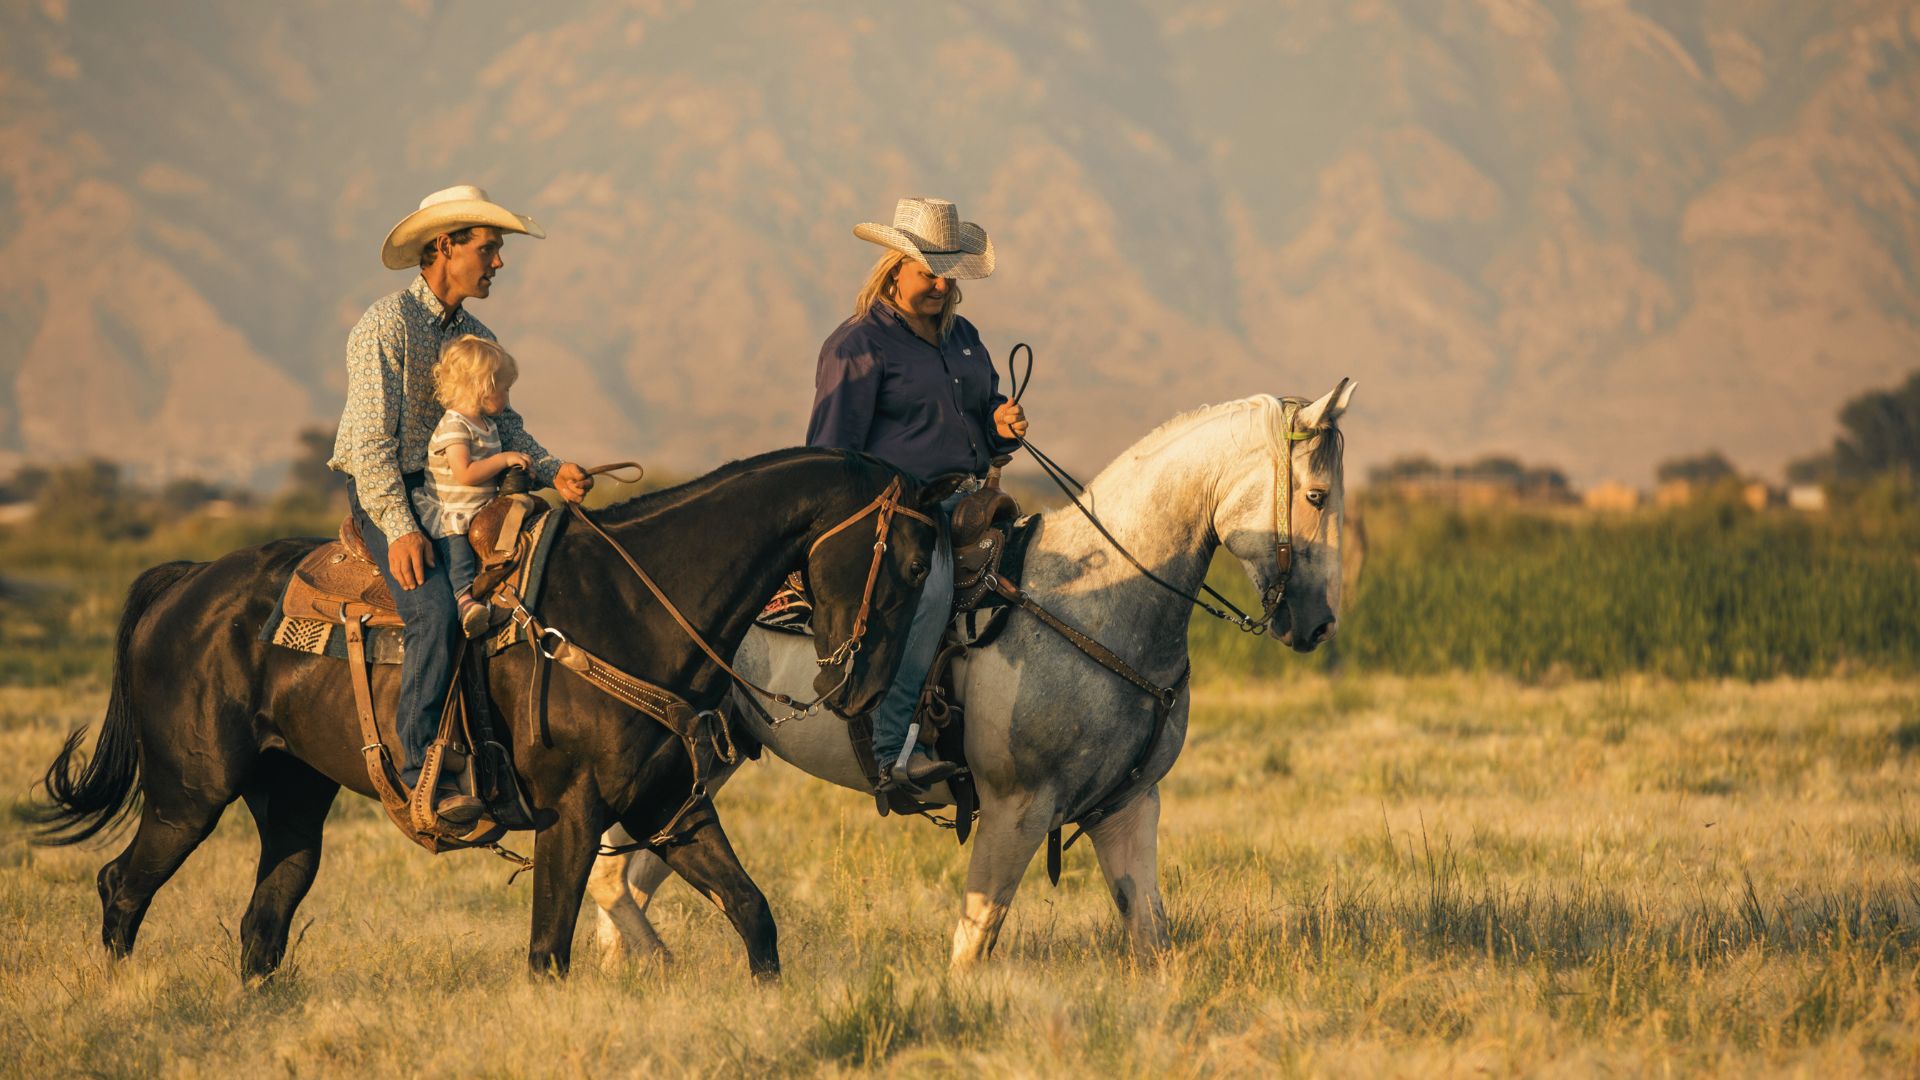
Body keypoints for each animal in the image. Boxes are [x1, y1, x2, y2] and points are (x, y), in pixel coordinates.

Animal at [30, 448, 950, 981]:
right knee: (123, 886)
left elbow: (753, 912)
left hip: (291, 800)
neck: (632, 606)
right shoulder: (574, 811)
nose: (860, 695)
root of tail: (183, 582)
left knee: (265, 922)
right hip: (188, 795)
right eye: (911, 563)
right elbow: (548, 952)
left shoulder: (668, 805)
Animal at [589, 381, 1357, 967]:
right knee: (609, 878)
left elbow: (1150, 934)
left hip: (705, 768)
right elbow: (973, 943)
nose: (1319, 624)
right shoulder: (1017, 808)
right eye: (1318, 496)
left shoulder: (1128, 808)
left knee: (630, 876)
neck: (1099, 602)